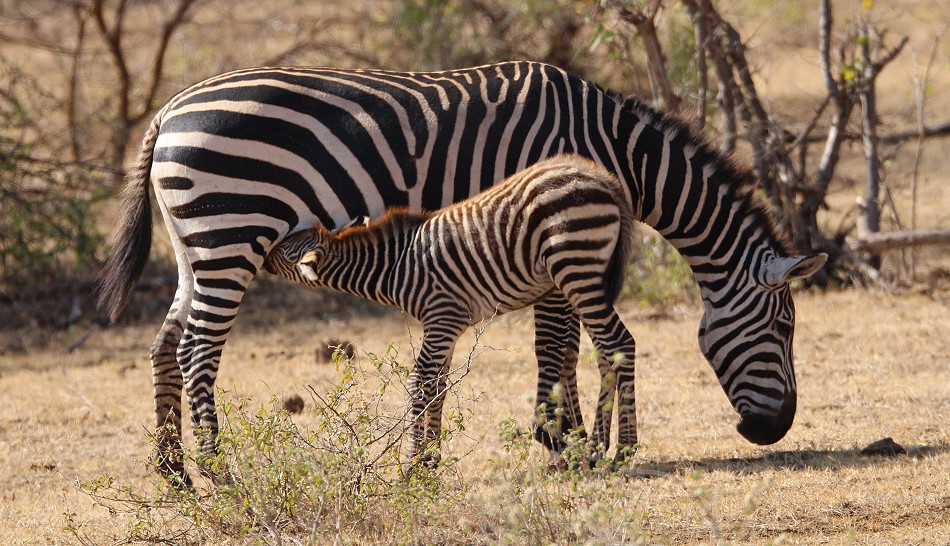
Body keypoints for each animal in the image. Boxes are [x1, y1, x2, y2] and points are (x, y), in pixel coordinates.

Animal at [266, 153, 640, 464]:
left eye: (284, 250)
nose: (264, 257)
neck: (396, 268)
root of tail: (603, 178)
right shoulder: (446, 326)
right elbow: (439, 386)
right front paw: (431, 459)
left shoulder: (441, 317)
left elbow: (420, 382)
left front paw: (412, 464)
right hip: (586, 276)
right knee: (606, 351)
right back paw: (598, 446)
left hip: (575, 266)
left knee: (619, 343)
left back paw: (624, 447)